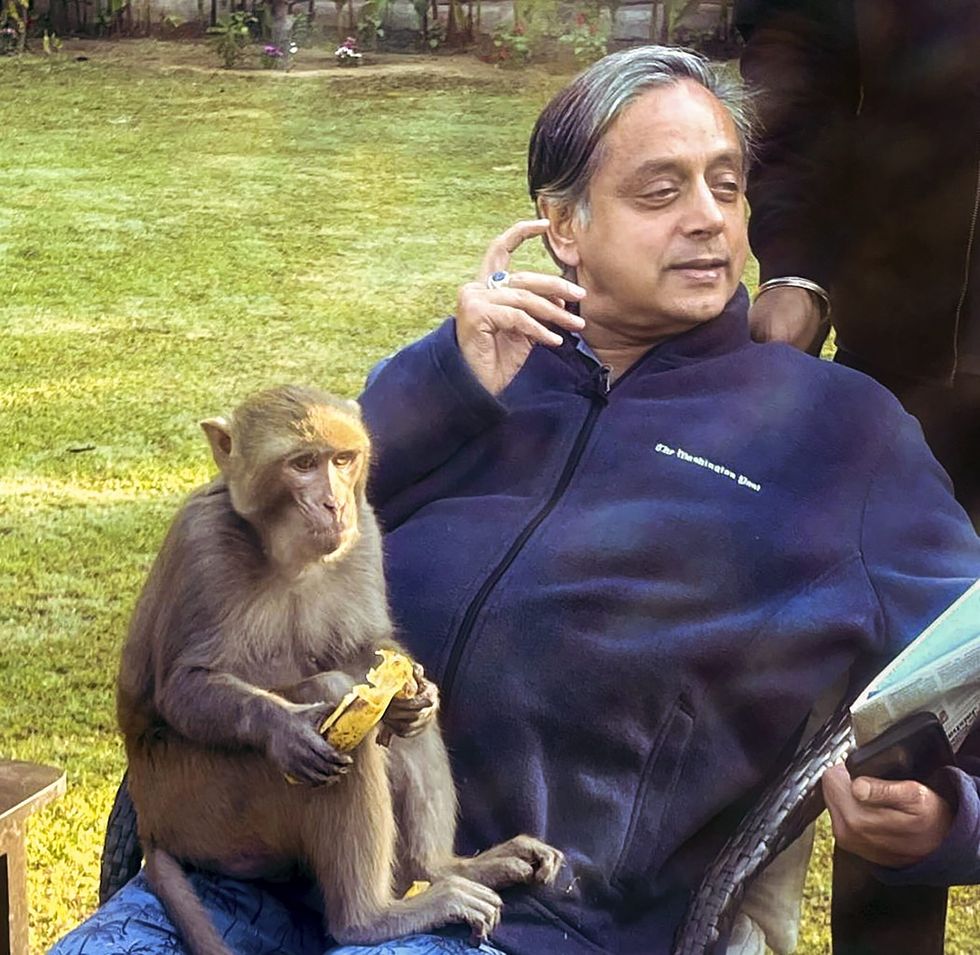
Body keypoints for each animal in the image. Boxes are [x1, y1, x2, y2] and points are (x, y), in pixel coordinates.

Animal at [117, 384, 564, 955]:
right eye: (303, 464)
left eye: (343, 460)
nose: (334, 504)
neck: (287, 557)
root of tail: (154, 825)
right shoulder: (205, 545)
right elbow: (184, 687)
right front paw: (284, 729)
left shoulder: (365, 528)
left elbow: (368, 652)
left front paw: (416, 695)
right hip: (209, 810)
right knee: (335, 707)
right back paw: (368, 919)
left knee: (385, 721)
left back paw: (443, 867)